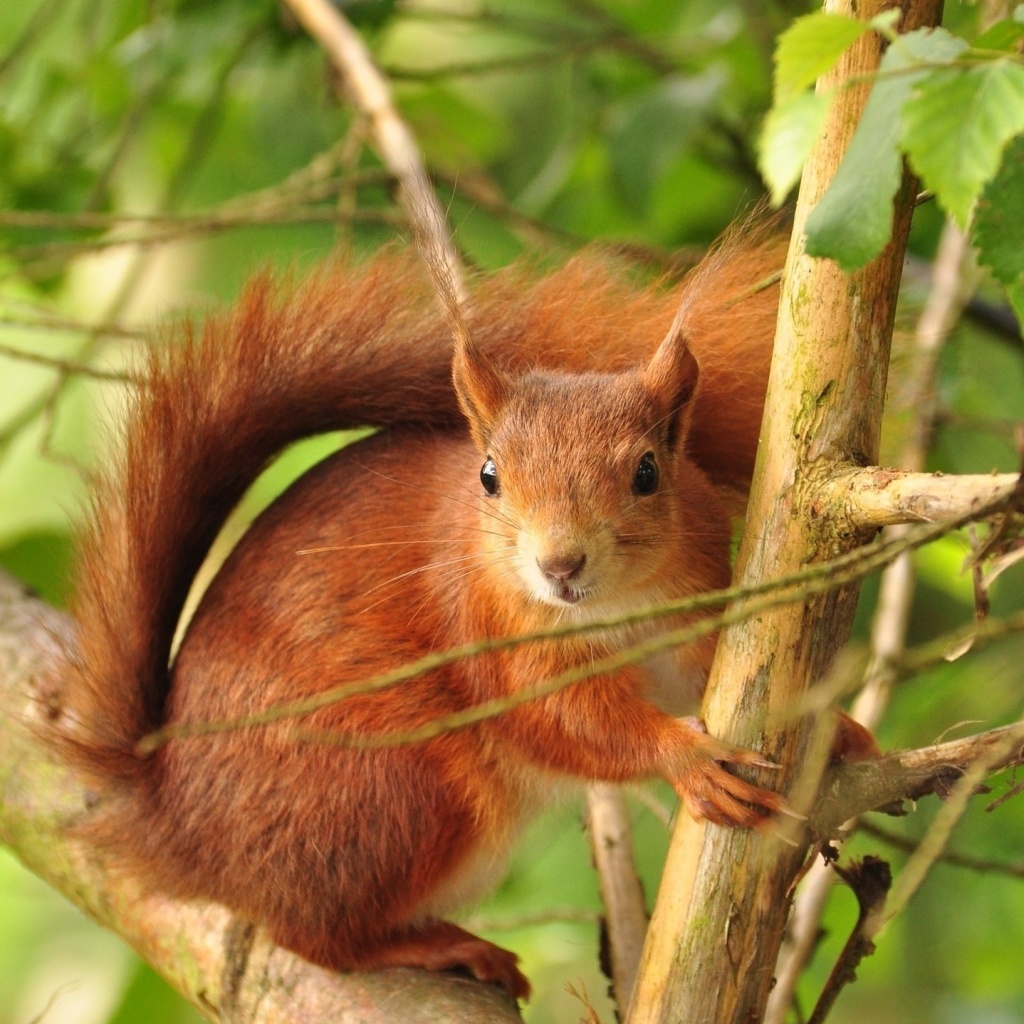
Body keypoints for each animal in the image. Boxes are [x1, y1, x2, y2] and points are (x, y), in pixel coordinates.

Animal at [64, 226, 819, 999]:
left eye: (647, 472)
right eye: (489, 476)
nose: (560, 565)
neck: (618, 606)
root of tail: (176, 828)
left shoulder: (694, 611)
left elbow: (711, 674)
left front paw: (836, 729)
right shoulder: (490, 634)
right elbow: (563, 721)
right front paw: (687, 758)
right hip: (398, 789)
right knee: (313, 937)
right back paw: (437, 946)